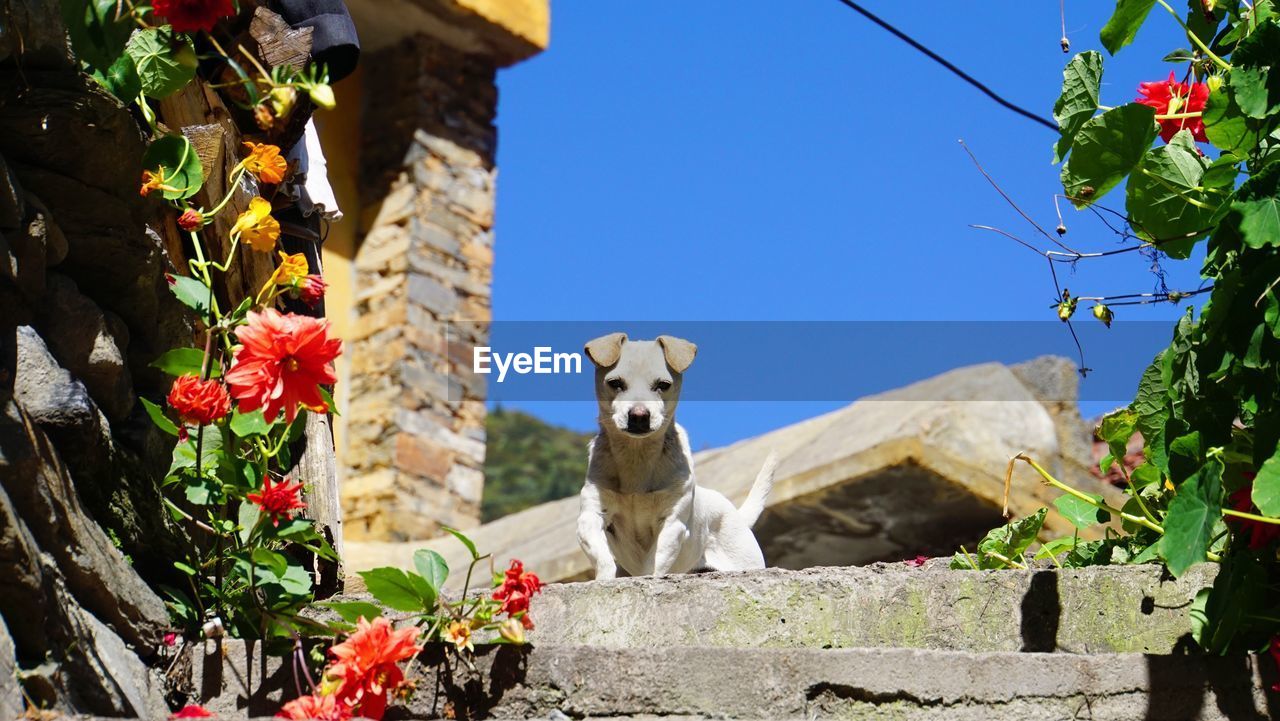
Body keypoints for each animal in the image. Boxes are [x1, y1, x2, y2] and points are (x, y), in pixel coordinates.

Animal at [576, 332, 773, 581]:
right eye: (615, 383)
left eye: (663, 385)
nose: (639, 416)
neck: (637, 457)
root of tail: (737, 515)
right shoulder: (590, 516)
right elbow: (603, 557)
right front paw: (605, 580)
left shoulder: (671, 524)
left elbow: (652, 564)